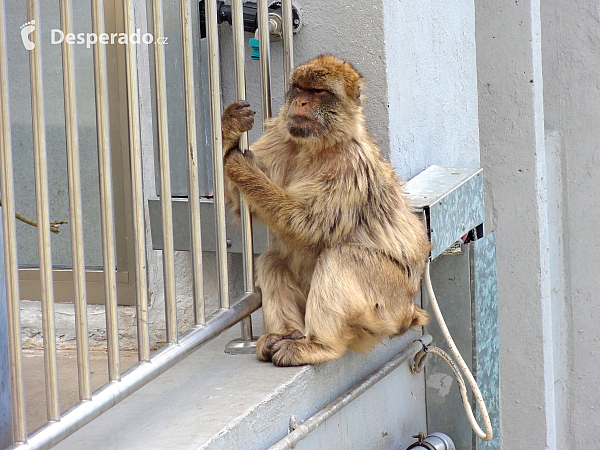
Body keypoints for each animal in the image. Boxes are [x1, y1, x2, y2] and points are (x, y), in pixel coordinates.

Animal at [220, 55, 432, 366]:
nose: (301, 103)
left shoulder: (349, 167)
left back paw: (318, 345)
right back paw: (286, 335)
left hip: (387, 305)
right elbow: (238, 204)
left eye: (319, 92)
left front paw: (241, 168)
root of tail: (411, 313)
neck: (317, 146)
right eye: (299, 88)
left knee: (341, 257)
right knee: (272, 261)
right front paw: (229, 129)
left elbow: (307, 224)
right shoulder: (281, 138)